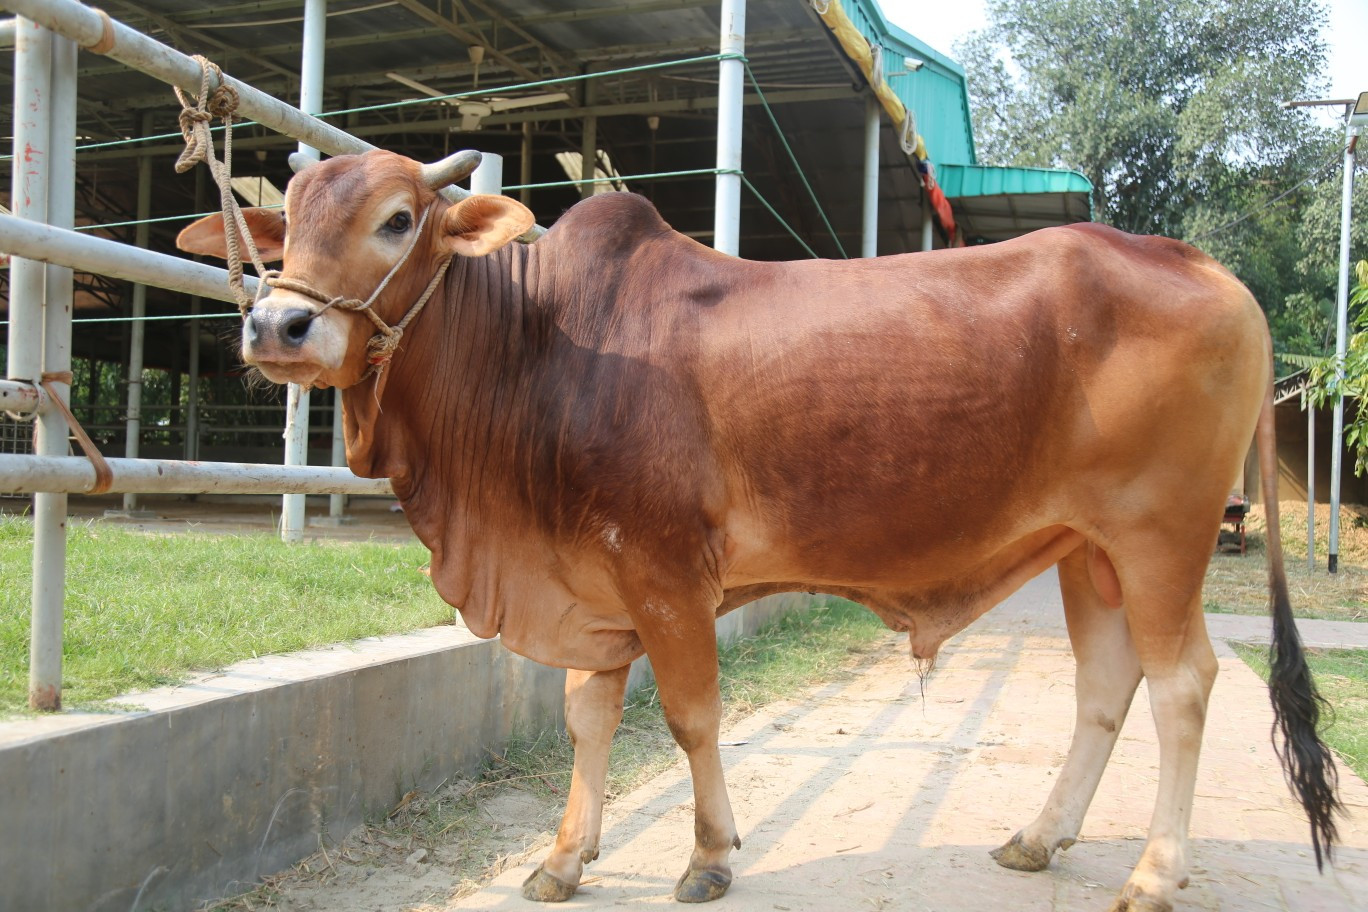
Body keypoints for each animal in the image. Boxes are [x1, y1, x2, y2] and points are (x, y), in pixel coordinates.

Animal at [177, 148, 1340, 911]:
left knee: (1185, 685)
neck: (539, 345)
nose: (277, 323)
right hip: (1087, 552)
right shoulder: (591, 579)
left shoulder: (662, 572)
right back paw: (1037, 838)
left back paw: (1153, 873)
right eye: (288, 221)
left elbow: (691, 717)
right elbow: (586, 717)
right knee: (1107, 687)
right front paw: (563, 859)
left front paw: (707, 856)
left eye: (398, 217)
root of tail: (1202, 266)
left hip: (1159, 539)